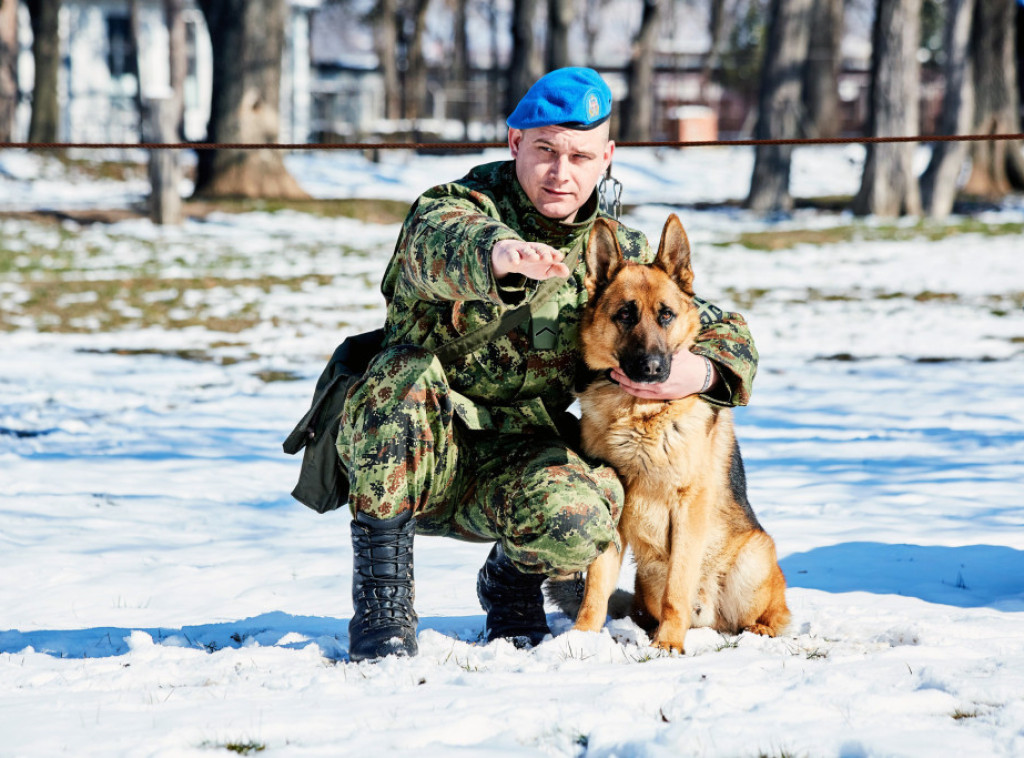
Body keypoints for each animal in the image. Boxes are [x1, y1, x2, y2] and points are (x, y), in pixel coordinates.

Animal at [569, 213, 790, 651]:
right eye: (625, 315)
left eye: (666, 315)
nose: (653, 367)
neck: (641, 415)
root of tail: (712, 618)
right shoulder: (612, 507)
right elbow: (596, 587)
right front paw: (581, 639)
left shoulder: (688, 509)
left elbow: (678, 588)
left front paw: (669, 644)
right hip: (648, 574)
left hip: (753, 558)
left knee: (773, 614)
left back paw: (755, 630)